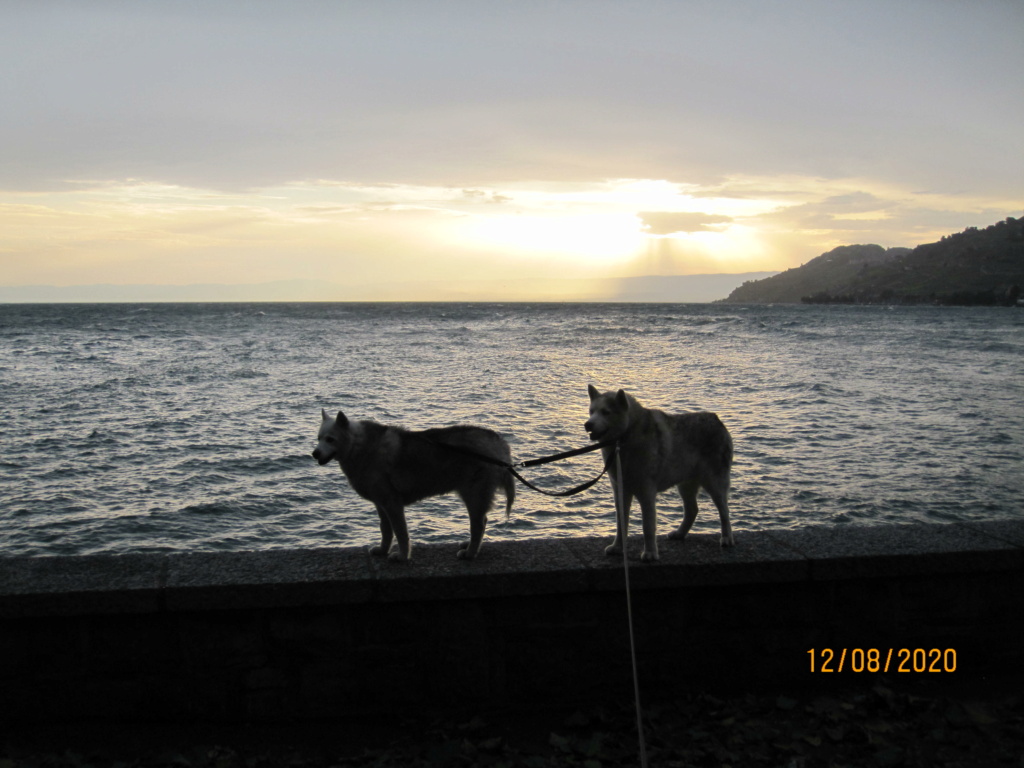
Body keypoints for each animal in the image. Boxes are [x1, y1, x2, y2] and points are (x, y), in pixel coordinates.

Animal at [585, 387, 737, 561]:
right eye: (591, 411)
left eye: (606, 412)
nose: (587, 424)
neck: (625, 438)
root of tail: (716, 419)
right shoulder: (620, 491)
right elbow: (621, 524)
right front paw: (617, 547)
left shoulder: (647, 491)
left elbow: (648, 526)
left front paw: (650, 553)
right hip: (685, 484)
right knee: (692, 510)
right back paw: (679, 533)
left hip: (714, 482)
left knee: (724, 511)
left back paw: (727, 538)